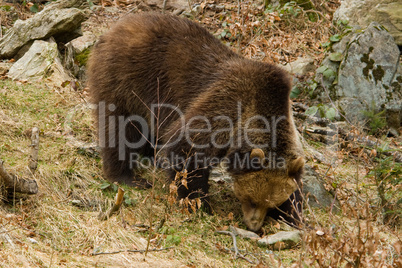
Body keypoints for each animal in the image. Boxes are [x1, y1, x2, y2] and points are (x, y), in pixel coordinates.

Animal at [86, 11, 304, 231]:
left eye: (271, 203)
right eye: (251, 199)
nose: (254, 225)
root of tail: (115, 27)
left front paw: (292, 215)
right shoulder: (226, 107)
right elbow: (187, 149)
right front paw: (198, 203)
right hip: (127, 78)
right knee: (120, 128)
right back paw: (127, 177)